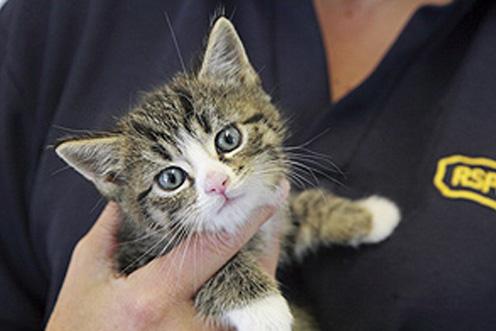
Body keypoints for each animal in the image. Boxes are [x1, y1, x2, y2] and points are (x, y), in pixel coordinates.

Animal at [56, 17, 402, 331]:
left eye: (228, 138)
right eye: (170, 179)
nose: (217, 183)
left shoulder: (272, 219)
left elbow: (301, 210)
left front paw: (371, 215)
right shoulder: (136, 256)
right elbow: (209, 268)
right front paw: (263, 307)